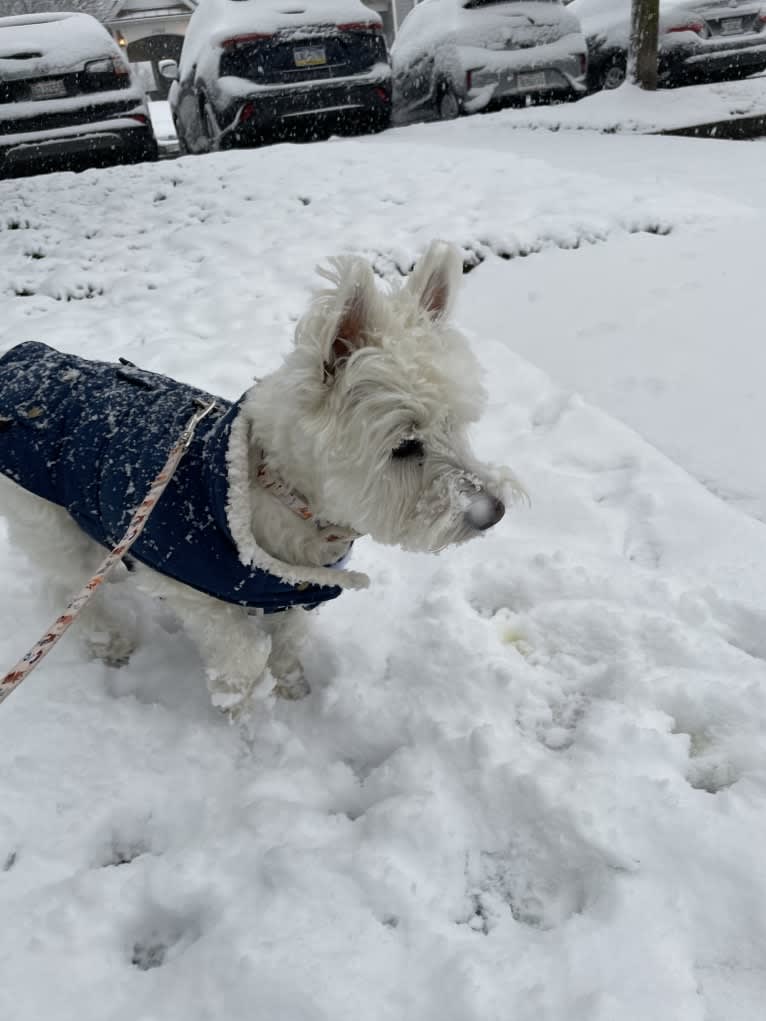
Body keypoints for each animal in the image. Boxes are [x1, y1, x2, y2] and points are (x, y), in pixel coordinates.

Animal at [0, 241, 522, 714]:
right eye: (405, 446)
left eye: (458, 424)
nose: (494, 512)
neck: (284, 498)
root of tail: (18, 361)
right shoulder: (191, 589)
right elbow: (245, 654)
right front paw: (238, 707)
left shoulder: (292, 591)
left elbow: (289, 642)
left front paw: (293, 691)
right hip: (47, 520)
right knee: (67, 587)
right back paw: (110, 642)